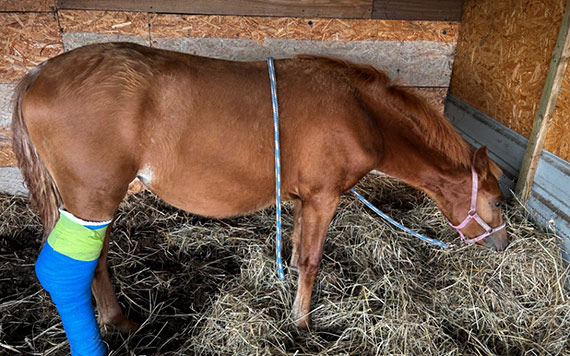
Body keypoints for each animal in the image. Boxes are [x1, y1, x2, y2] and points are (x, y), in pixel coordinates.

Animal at [11, 43, 504, 332]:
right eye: (498, 200)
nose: (502, 243)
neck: (358, 110)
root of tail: (37, 75)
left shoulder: (305, 199)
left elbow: (297, 252)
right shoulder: (324, 197)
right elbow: (311, 261)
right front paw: (302, 325)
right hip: (92, 199)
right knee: (85, 265)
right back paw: (117, 324)